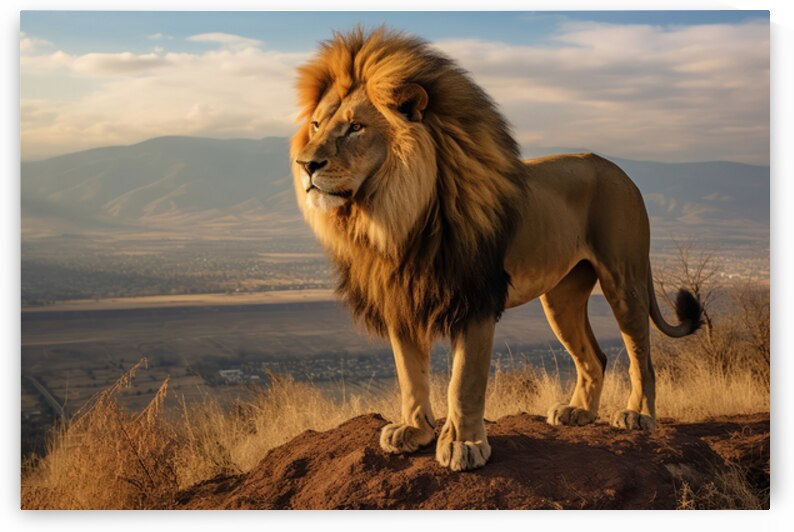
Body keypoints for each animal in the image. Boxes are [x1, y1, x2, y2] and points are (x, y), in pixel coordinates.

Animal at [290, 28, 702, 471]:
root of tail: (622, 172)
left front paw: (463, 444)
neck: (395, 217)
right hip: (561, 296)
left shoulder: (475, 298)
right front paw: (414, 431)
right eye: (316, 125)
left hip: (623, 278)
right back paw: (579, 412)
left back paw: (638, 415)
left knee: (641, 353)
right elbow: (410, 376)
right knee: (595, 356)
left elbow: (463, 382)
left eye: (355, 127)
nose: (305, 165)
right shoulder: (402, 299)